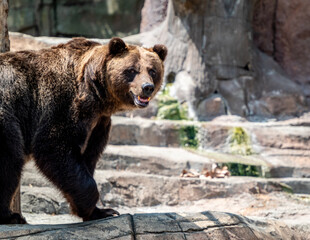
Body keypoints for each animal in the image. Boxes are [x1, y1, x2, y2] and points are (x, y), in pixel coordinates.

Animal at [0, 37, 167, 223]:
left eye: (152, 70)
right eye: (131, 70)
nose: (147, 87)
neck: (96, 95)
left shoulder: (98, 123)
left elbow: (88, 157)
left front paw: (99, 211)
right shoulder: (64, 104)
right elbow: (53, 146)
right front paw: (95, 206)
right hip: (6, 115)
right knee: (10, 159)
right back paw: (10, 216)